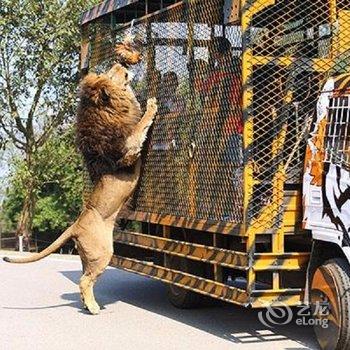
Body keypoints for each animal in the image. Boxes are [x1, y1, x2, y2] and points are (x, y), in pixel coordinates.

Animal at [3, 61, 157, 316]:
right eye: (110, 75)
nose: (120, 63)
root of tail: (75, 225)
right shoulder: (128, 149)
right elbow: (141, 125)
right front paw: (152, 104)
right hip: (103, 252)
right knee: (85, 280)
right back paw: (94, 308)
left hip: (88, 256)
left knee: (84, 278)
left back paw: (88, 304)